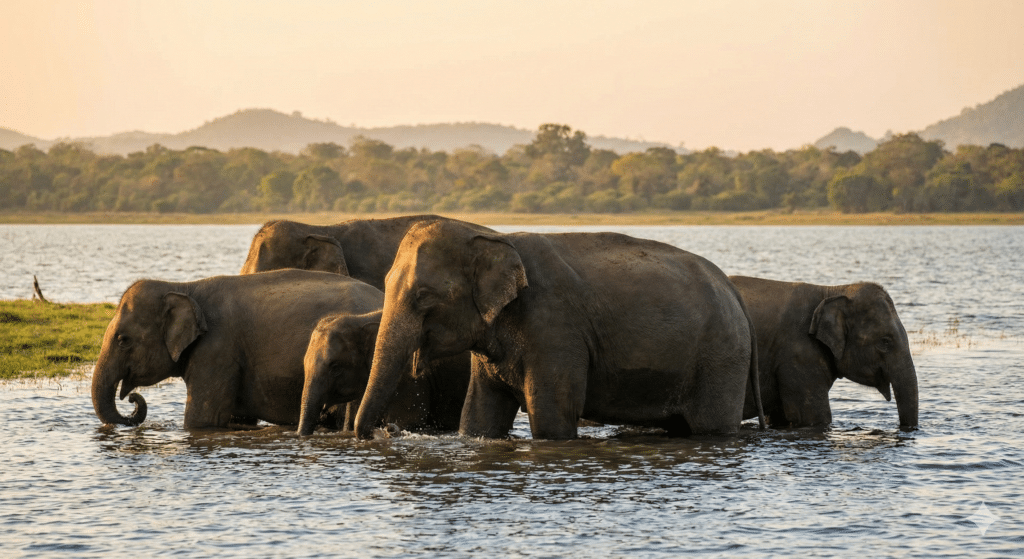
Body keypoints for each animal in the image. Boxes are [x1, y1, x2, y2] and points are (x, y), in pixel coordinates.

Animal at [354, 219, 766, 440]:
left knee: (711, 425)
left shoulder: (555, 330)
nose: (385, 431)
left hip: (720, 358)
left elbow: (551, 417)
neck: (494, 237)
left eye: (423, 296)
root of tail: (734, 291)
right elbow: (479, 416)